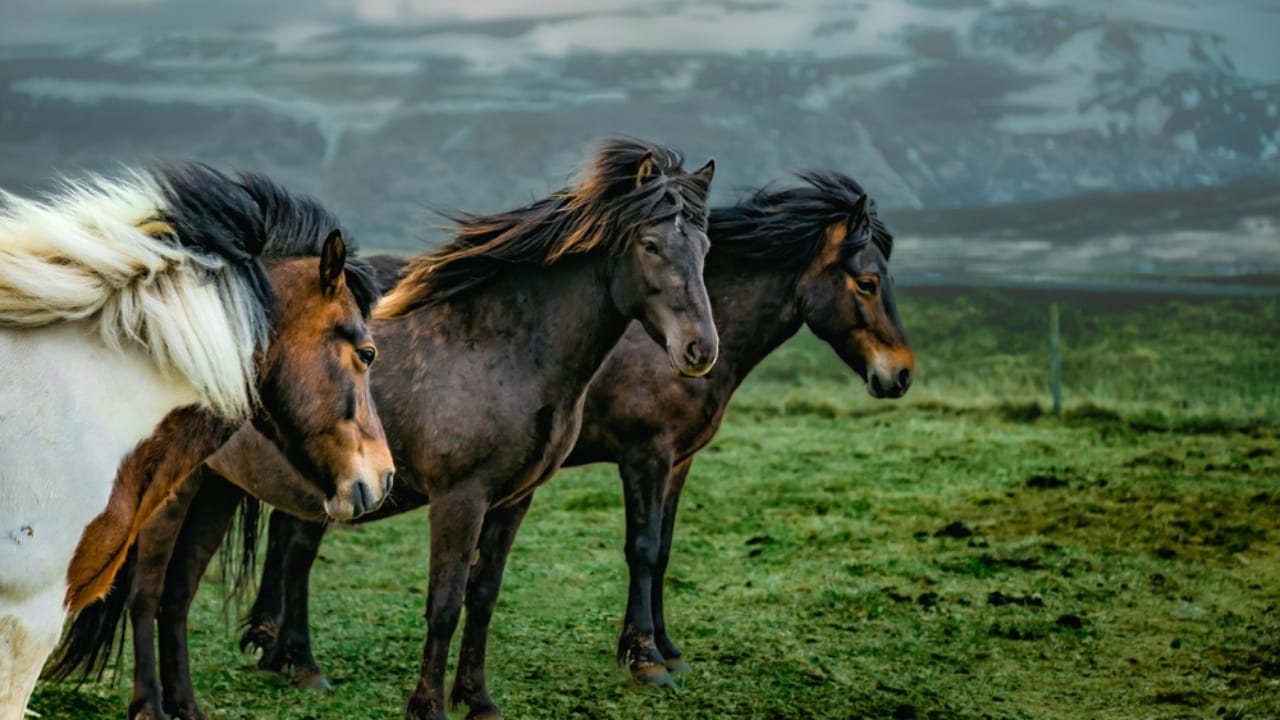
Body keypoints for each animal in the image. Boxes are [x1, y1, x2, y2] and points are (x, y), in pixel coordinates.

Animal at [51, 138, 718, 720]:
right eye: (651, 245)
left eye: (706, 247)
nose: (699, 349)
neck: (505, 346)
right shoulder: (460, 499)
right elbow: (445, 604)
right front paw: (428, 706)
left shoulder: (512, 502)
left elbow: (483, 598)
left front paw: (477, 700)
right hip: (175, 494)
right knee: (146, 594)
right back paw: (149, 706)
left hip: (216, 489)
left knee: (177, 597)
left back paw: (188, 707)